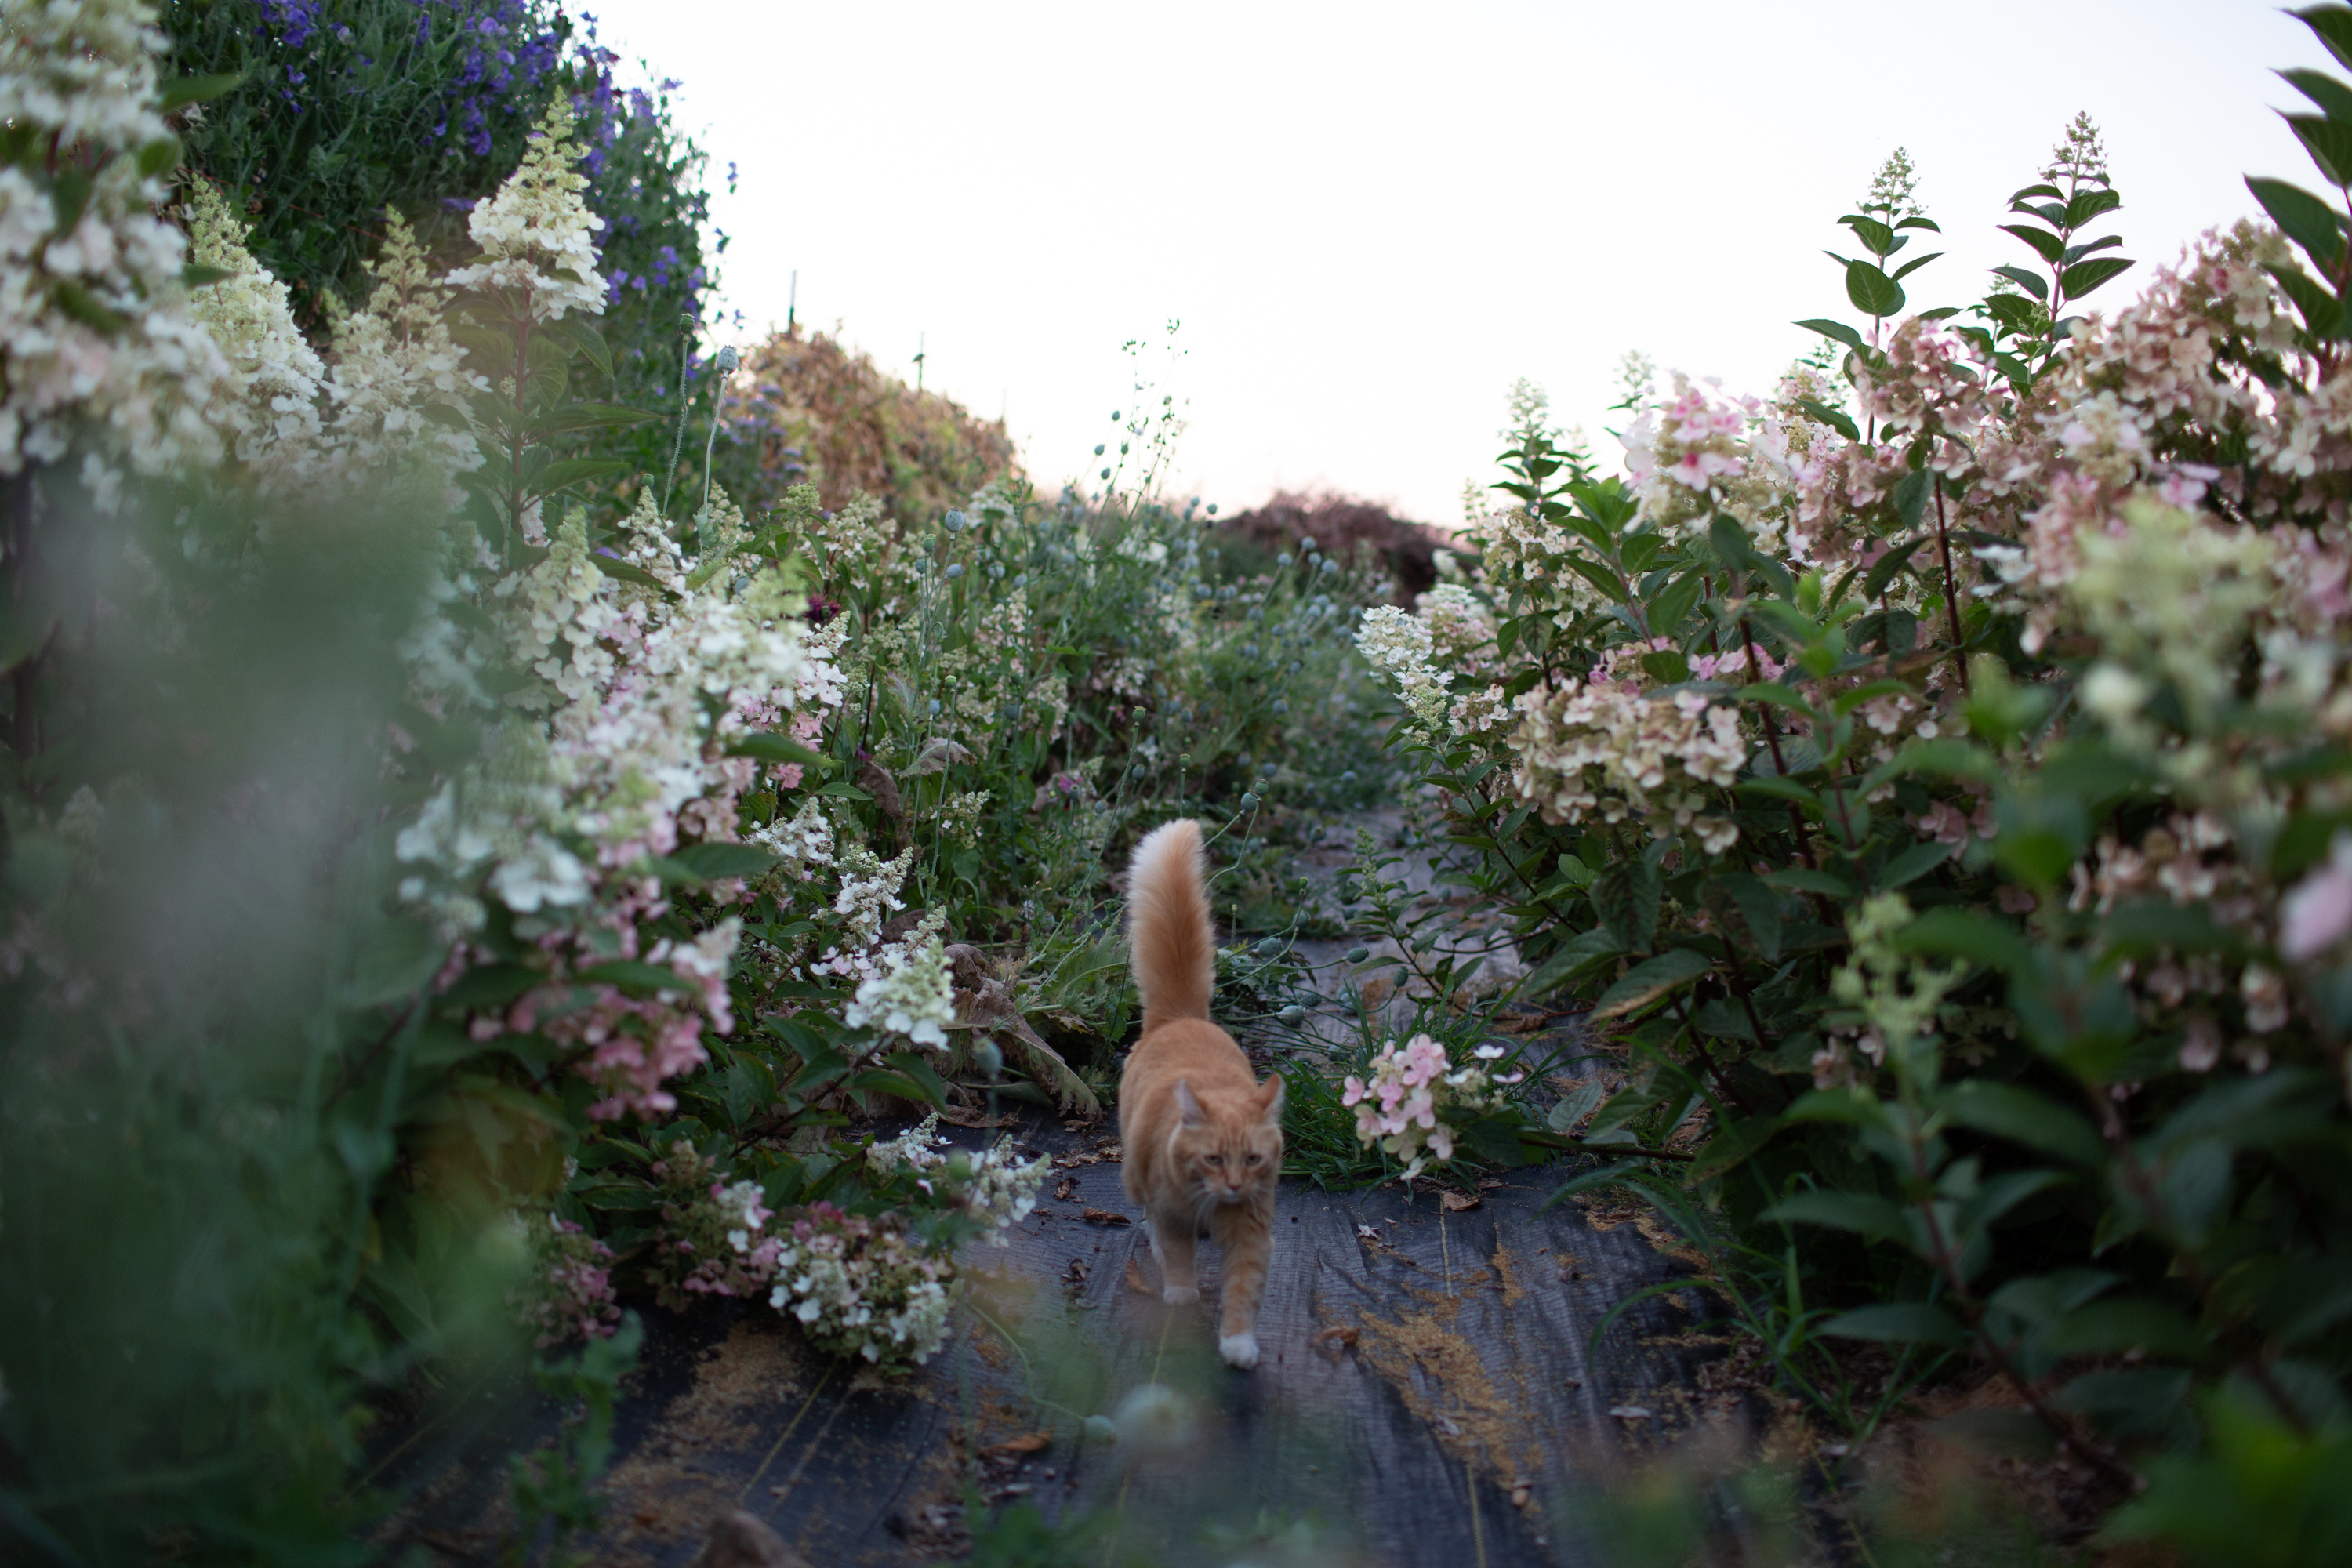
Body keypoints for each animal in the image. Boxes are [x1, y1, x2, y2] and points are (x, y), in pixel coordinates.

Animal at [1120, 818, 1289, 1363]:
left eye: (1252, 1160)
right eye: (1213, 1159)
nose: (1234, 1185)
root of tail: (1182, 1017)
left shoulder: (1253, 1229)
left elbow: (1242, 1288)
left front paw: (1238, 1343)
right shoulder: (1172, 1209)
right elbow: (1175, 1252)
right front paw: (1180, 1292)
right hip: (1135, 1175)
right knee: (1146, 1217)